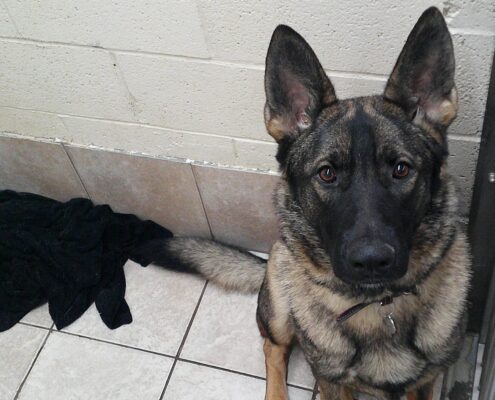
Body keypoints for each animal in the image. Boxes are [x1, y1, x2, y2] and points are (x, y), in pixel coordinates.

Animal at [134, 7, 471, 400]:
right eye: (326, 174)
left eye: (401, 169)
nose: (372, 261)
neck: (379, 307)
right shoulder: (331, 381)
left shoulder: (425, 383)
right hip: (281, 303)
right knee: (273, 347)